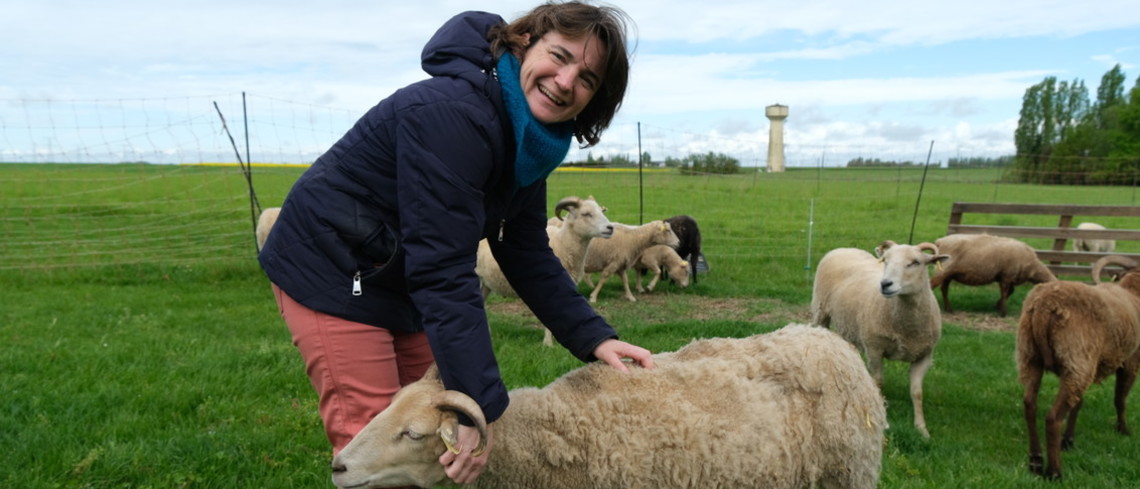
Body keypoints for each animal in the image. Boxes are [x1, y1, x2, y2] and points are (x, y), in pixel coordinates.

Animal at [811, 240, 953, 437]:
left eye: (915, 262)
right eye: (885, 260)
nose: (885, 284)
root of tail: (844, 248)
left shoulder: (924, 356)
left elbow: (917, 392)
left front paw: (922, 429)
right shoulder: (874, 349)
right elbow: (878, 383)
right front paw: (883, 420)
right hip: (820, 310)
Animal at [1016, 255, 1140, 481]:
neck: (1134, 292)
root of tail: (1044, 306)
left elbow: (1078, 403)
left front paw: (1069, 440)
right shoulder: (1130, 361)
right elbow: (1120, 400)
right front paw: (1124, 430)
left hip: (1031, 357)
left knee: (1030, 405)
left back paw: (1036, 461)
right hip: (1077, 360)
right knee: (1053, 417)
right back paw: (1054, 472)